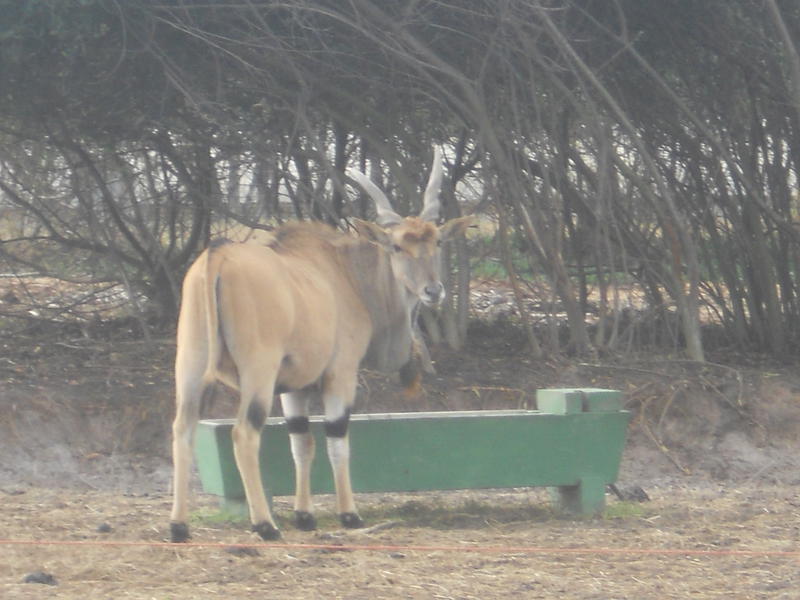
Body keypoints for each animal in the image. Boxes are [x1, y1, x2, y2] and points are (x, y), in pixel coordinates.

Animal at [169, 148, 468, 540]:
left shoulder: (293, 388)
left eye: (437, 241)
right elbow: (336, 441)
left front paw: (305, 515)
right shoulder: (340, 374)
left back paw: (179, 525)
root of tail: (217, 255)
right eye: (396, 246)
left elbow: (301, 442)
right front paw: (349, 514)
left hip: (190, 368)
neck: (345, 272)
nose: (433, 291)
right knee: (244, 434)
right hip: (258, 374)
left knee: (182, 429)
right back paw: (264, 525)